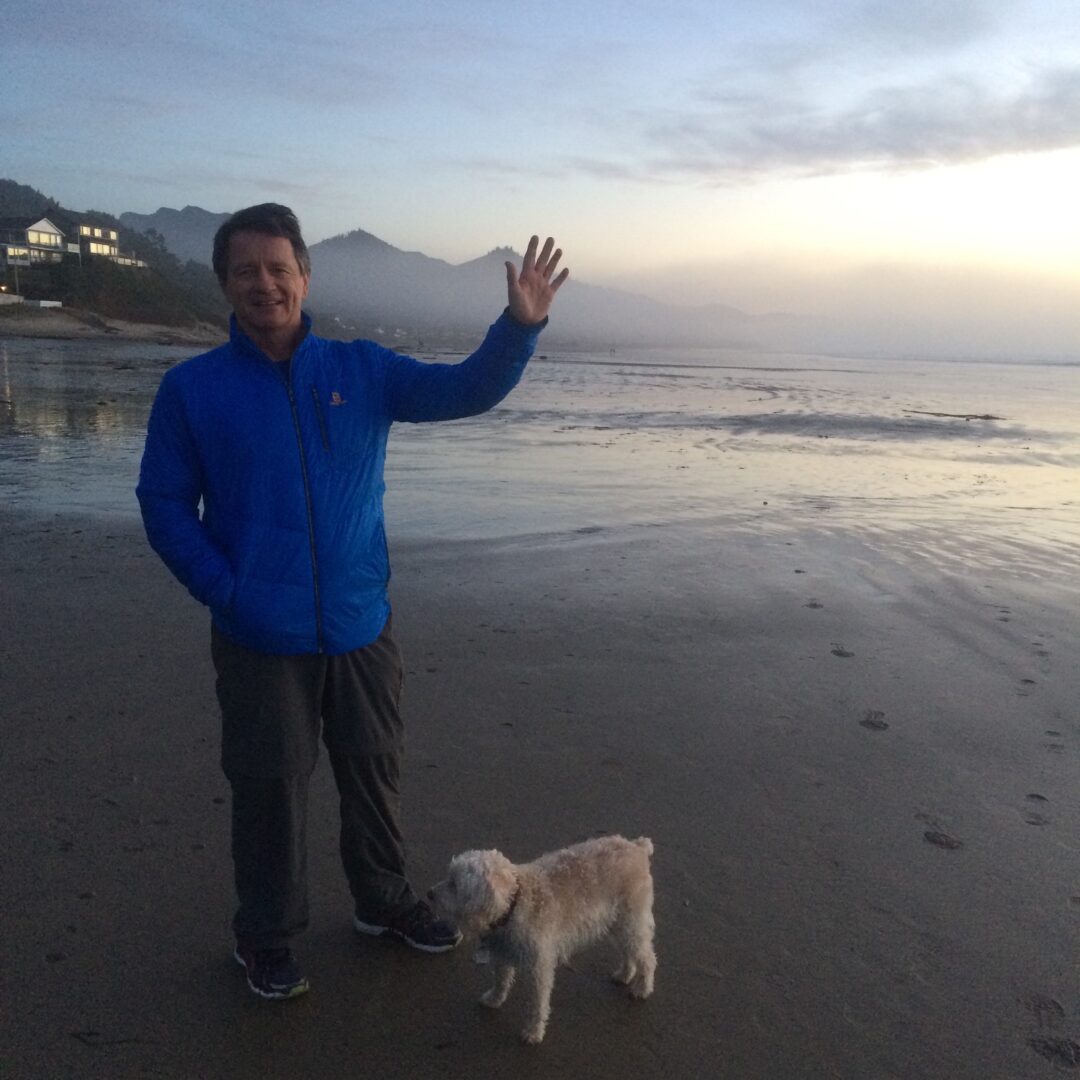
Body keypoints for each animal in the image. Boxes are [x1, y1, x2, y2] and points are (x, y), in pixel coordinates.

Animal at [425, 833, 652, 1045]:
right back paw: (625, 974)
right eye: (449, 877)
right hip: (617, 925)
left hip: (631, 922)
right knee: (629, 952)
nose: (429, 893)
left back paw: (642, 988)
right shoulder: (502, 954)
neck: (513, 905)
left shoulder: (538, 967)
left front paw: (533, 1031)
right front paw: (494, 999)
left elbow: (537, 1003)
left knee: (647, 958)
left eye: (454, 884)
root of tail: (637, 847)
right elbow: (501, 980)